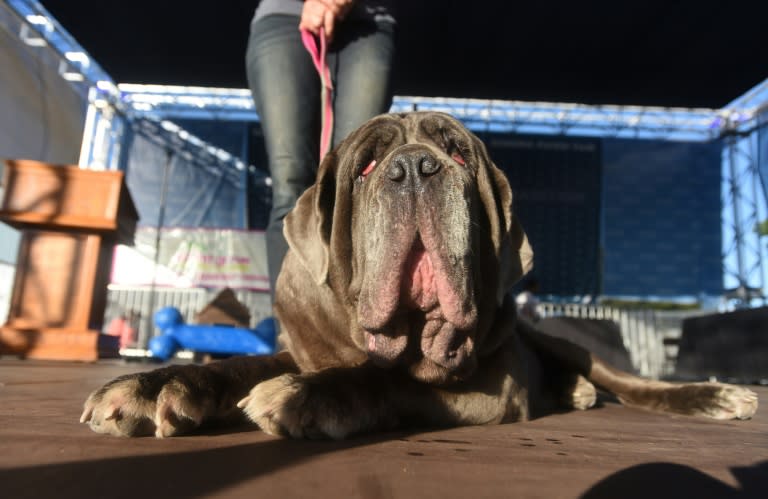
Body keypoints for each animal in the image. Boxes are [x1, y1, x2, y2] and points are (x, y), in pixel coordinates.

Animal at [82, 112, 756, 438]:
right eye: (366, 165)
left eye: (457, 153)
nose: (414, 168)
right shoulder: (303, 348)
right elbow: (239, 365)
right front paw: (154, 386)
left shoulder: (487, 387)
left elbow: (394, 382)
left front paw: (306, 396)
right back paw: (575, 393)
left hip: (568, 343)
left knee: (629, 382)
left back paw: (713, 395)